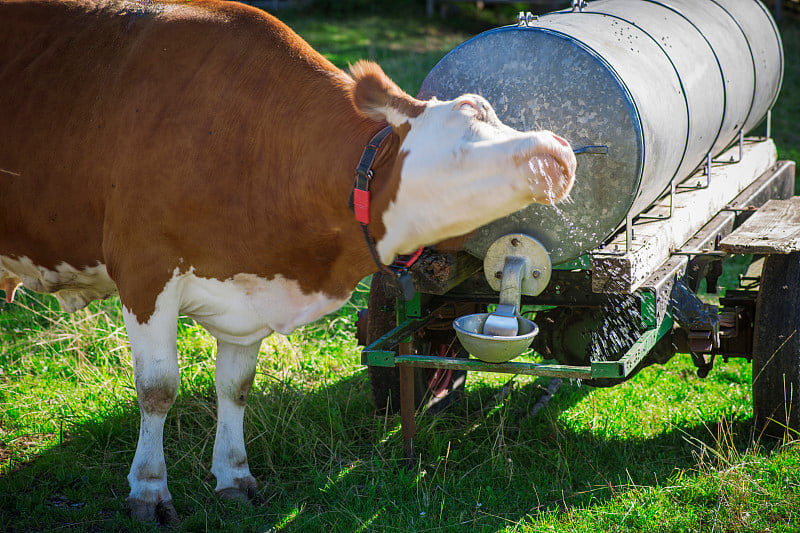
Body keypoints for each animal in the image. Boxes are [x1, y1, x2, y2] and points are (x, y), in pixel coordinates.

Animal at [0, 0, 576, 524]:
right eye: (462, 135)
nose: (560, 151)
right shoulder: (145, 271)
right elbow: (158, 389)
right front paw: (149, 490)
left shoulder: (252, 287)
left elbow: (235, 386)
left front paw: (234, 477)